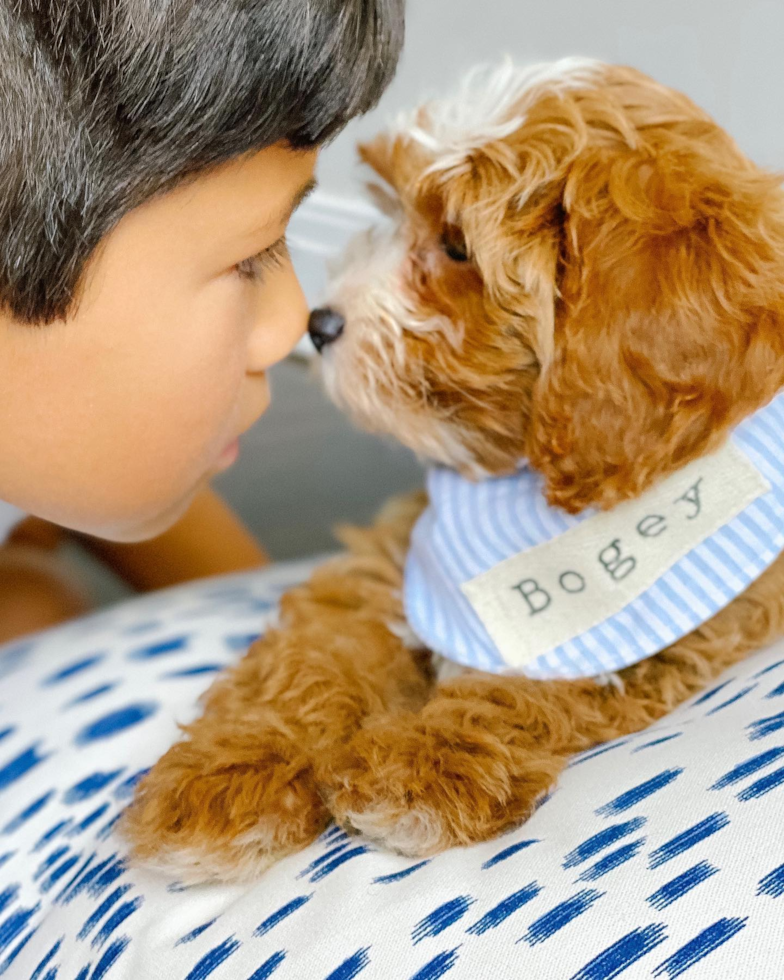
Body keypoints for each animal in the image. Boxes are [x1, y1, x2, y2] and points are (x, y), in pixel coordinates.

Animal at [125, 63, 784, 888]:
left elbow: (531, 680)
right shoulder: (388, 556)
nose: (319, 323)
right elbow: (320, 651)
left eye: (457, 247)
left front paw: (423, 763)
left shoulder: (676, 633)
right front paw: (228, 777)